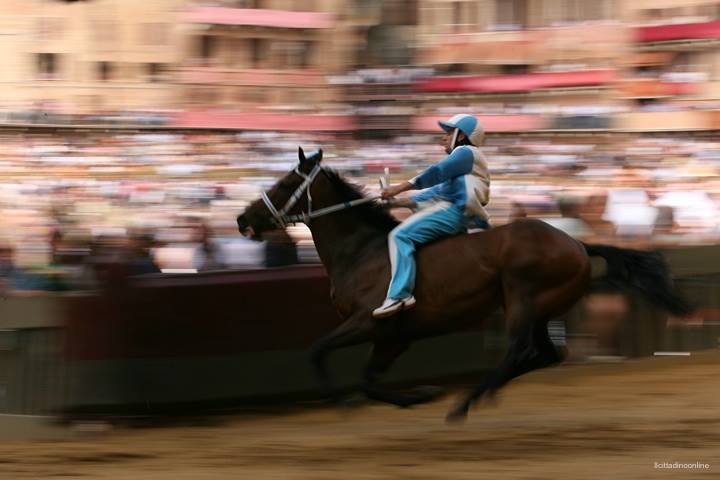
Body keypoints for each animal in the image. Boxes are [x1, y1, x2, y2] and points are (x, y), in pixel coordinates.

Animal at [236, 148, 692, 422]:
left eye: (284, 182)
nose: (242, 219)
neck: (362, 251)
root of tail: (578, 243)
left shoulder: (369, 321)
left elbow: (318, 351)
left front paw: (346, 402)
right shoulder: (395, 336)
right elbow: (368, 379)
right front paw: (420, 394)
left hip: (522, 299)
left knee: (519, 351)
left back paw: (467, 401)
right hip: (541, 308)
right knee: (546, 354)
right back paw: (476, 395)